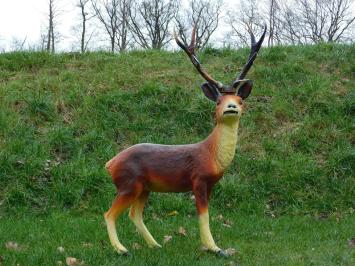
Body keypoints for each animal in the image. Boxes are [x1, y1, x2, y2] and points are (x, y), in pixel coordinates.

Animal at [104, 25, 268, 258]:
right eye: (218, 101)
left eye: (240, 100)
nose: (231, 108)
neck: (210, 153)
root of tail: (109, 164)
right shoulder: (198, 179)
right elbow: (203, 215)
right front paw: (216, 248)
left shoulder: (211, 184)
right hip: (128, 184)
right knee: (109, 214)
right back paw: (122, 250)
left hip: (143, 188)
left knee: (134, 215)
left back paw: (155, 245)